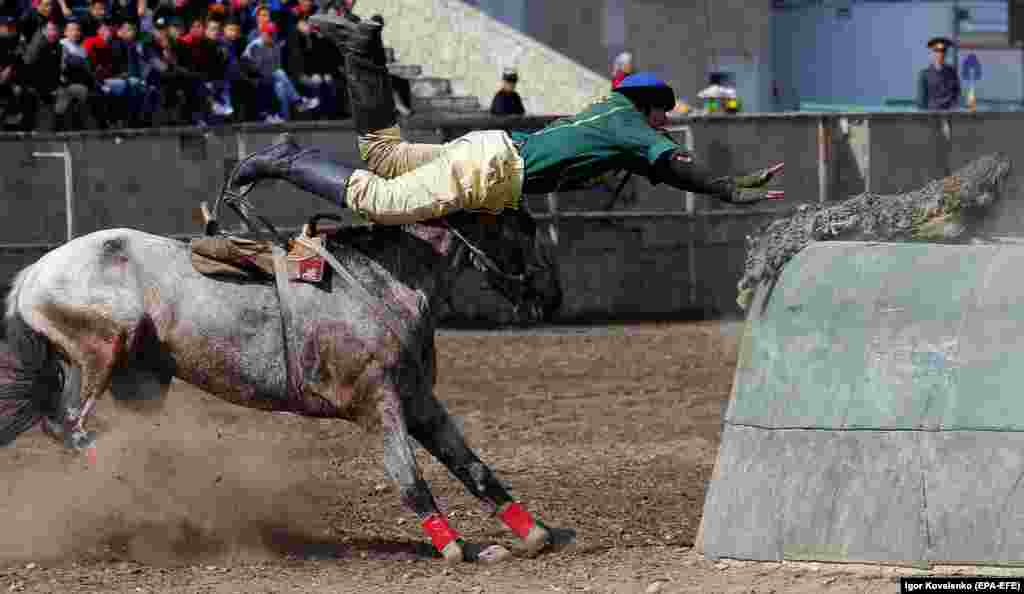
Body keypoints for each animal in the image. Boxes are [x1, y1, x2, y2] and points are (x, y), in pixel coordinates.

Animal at [0, 206, 565, 565]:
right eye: (517, 228)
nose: (551, 293)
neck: (383, 280)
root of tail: (32, 274)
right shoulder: (378, 403)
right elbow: (410, 478)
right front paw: (455, 547)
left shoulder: (420, 400)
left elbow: (472, 466)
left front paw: (533, 534)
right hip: (103, 351)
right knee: (72, 427)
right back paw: (150, 497)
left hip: (132, 378)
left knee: (74, 426)